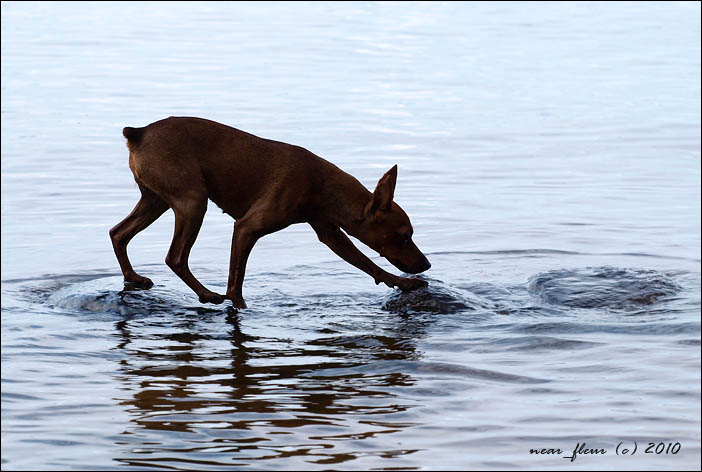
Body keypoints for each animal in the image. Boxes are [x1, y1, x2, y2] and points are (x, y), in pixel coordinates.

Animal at [110, 115, 432, 306]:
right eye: (405, 236)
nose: (427, 264)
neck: (323, 187)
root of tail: (138, 133)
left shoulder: (329, 232)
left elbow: (366, 263)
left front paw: (402, 283)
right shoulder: (246, 228)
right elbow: (235, 284)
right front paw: (238, 306)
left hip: (157, 201)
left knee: (118, 233)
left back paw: (133, 277)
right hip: (192, 202)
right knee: (175, 257)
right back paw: (206, 294)